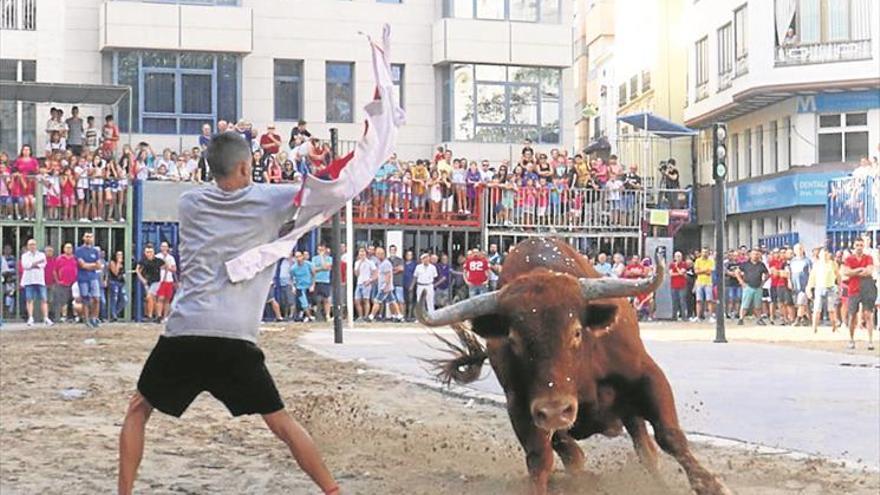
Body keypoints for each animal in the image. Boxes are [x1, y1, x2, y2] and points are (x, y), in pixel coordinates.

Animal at [418, 238, 728, 495]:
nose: (556, 410)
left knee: (646, 447)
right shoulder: (520, 407)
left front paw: (713, 486)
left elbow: (669, 436)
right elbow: (543, 459)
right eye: (514, 340)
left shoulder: (647, 375)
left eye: (576, 332)